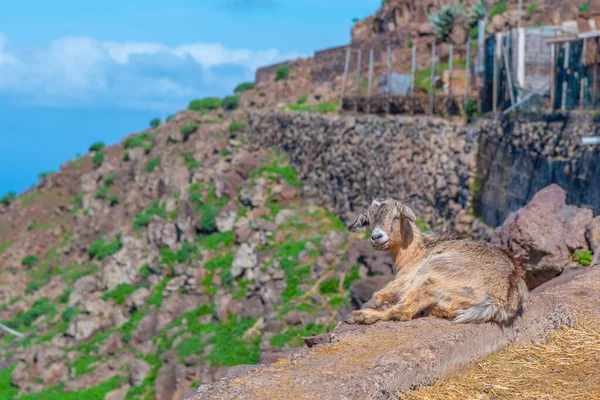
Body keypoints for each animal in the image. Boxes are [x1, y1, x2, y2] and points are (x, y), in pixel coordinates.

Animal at [344, 198, 528, 326]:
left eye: (396, 217)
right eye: (368, 220)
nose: (377, 237)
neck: (417, 252)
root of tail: (499, 300)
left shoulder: (404, 280)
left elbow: (378, 296)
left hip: (432, 277)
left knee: (403, 311)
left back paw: (360, 316)